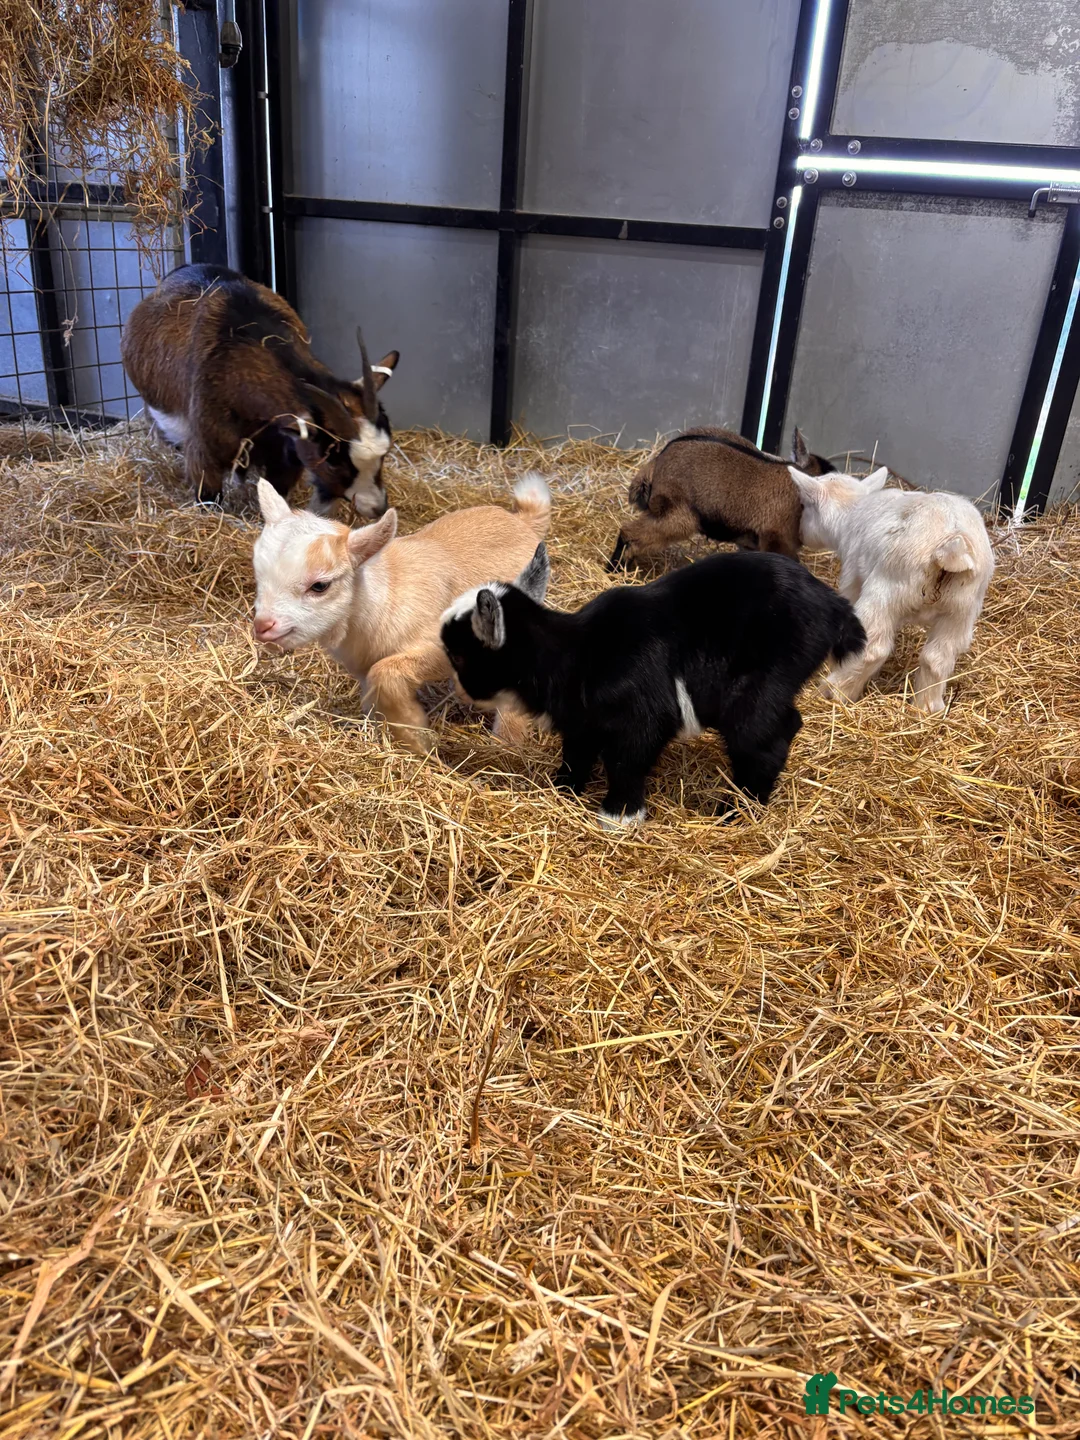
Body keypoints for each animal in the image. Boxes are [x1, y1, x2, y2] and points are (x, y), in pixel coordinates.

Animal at [121, 263, 399, 516]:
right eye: (332, 461)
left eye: (384, 455)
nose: (377, 508)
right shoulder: (205, 454)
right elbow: (208, 497)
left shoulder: (286, 455)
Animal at [252, 474, 552, 754]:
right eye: (259, 572)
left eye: (320, 586)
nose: (263, 625)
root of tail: (523, 520)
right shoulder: (364, 667)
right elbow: (374, 693)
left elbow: (385, 674)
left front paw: (415, 735)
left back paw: (507, 742)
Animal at [441, 548, 865, 827]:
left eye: (459, 656)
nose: (459, 693)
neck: (576, 654)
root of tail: (834, 607)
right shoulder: (582, 722)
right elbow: (576, 754)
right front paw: (564, 790)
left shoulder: (641, 716)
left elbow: (627, 761)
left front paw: (618, 816)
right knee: (787, 722)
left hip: (758, 687)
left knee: (765, 738)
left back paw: (736, 811)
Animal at [608, 426, 835, 570]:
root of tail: (658, 460)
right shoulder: (778, 540)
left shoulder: (751, 543)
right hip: (678, 516)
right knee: (629, 533)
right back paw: (614, 570)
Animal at [791, 466, 995, 713]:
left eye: (804, 505)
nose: (800, 534)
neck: (852, 512)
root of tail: (952, 545)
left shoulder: (852, 578)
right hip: (962, 608)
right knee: (937, 657)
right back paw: (927, 708)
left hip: (887, 590)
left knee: (873, 648)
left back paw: (834, 692)